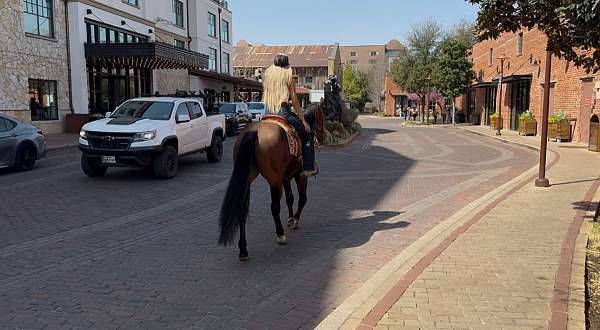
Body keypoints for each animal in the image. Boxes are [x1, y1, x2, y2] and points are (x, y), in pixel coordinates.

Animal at [219, 104, 326, 260]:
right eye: (322, 116)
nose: (323, 136)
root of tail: (255, 131)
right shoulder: (299, 176)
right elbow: (302, 198)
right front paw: (294, 220)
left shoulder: (285, 177)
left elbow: (290, 198)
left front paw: (290, 218)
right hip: (274, 180)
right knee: (275, 207)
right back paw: (280, 234)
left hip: (248, 179)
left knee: (242, 209)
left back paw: (243, 248)